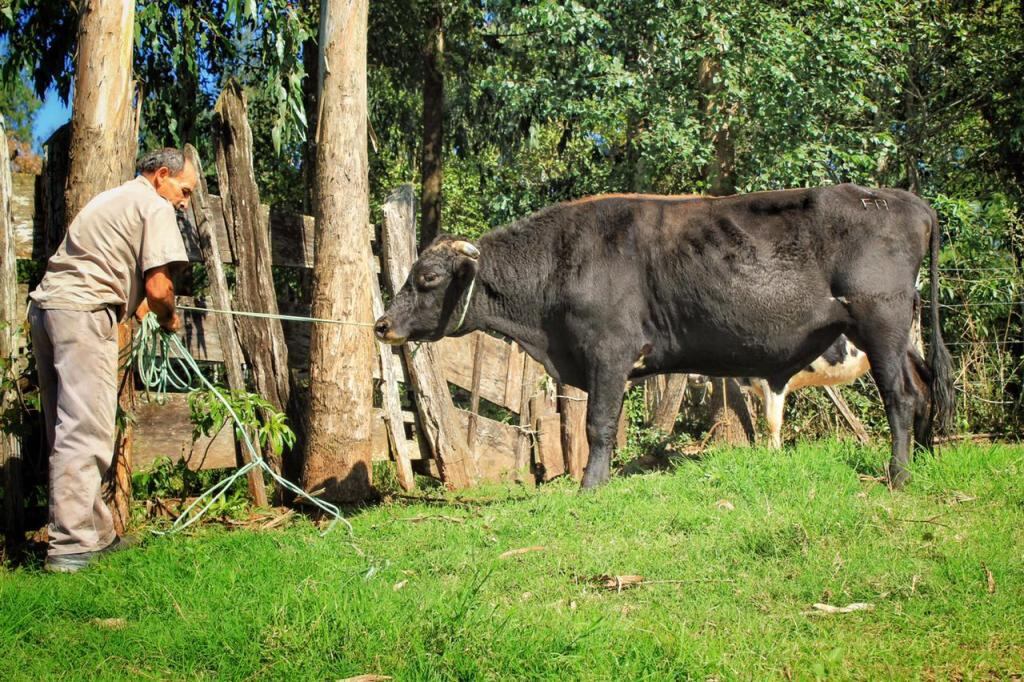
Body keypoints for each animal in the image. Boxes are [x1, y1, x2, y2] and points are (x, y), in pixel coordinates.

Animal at [378, 183, 958, 485]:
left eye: (427, 278)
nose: (382, 324)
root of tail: (903, 199)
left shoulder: (609, 351)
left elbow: (598, 427)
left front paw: (590, 487)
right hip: (898, 335)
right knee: (925, 388)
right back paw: (929, 457)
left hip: (880, 323)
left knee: (902, 397)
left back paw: (899, 474)